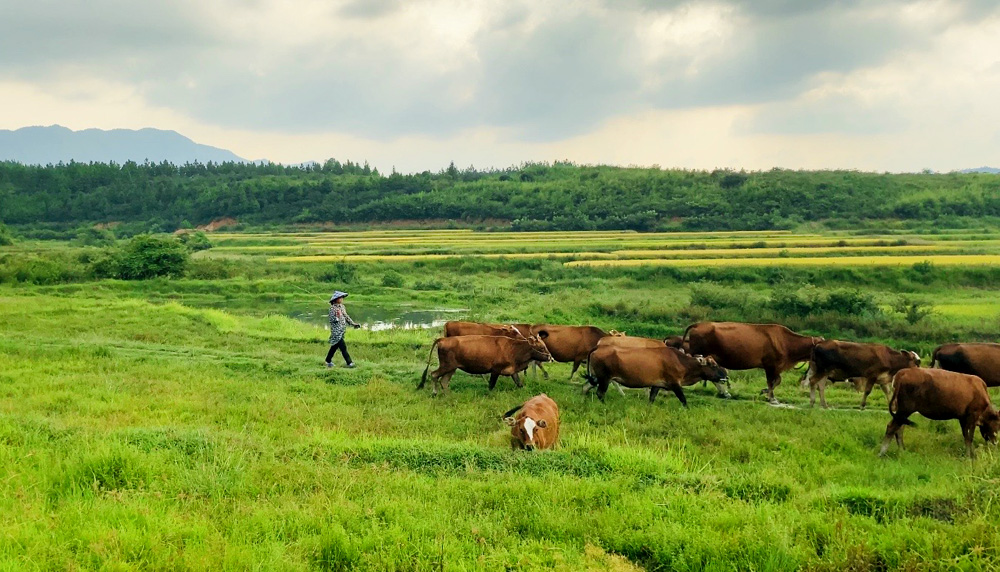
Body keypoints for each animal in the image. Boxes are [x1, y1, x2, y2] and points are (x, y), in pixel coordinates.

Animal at [416, 332, 552, 396]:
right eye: (542, 347)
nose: (551, 357)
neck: (514, 348)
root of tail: (443, 339)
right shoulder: (495, 370)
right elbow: (491, 385)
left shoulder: (512, 370)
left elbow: (519, 384)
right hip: (446, 366)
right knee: (434, 375)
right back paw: (434, 393)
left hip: (452, 368)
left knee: (444, 381)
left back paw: (449, 395)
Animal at [584, 344, 732, 406]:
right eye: (713, 365)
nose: (725, 376)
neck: (681, 361)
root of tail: (598, 347)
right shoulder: (675, 384)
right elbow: (683, 399)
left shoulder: (656, 384)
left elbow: (651, 399)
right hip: (605, 378)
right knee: (600, 393)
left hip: (597, 378)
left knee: (585, 387)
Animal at [688, 322, 820, 402]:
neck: (785, 342)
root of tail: (698, 324)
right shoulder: (770, 365)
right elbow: (771, 382)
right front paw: (771, 398)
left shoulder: (776, 367)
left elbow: (777, 381)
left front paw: (766, 393)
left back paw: (724, 393)